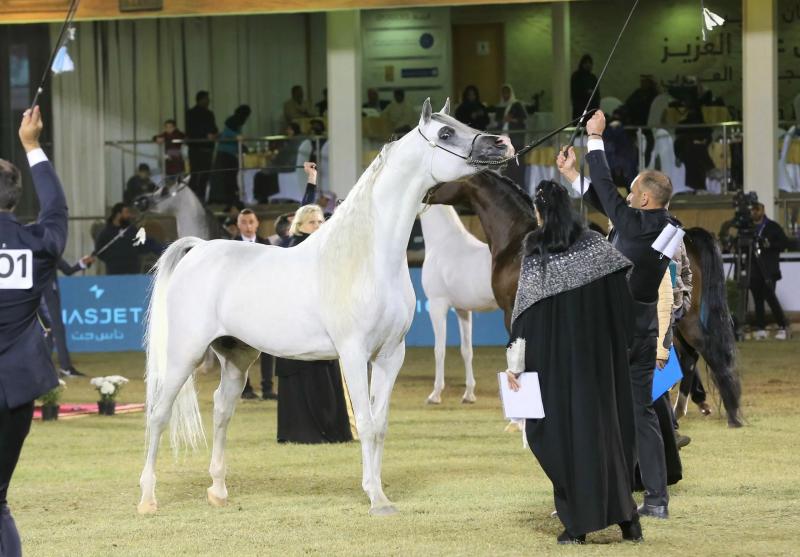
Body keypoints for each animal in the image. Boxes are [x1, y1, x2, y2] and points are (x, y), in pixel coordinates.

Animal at [422, 202, 496, 402]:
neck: (443, 241)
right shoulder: (463, 309)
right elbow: (466, 350)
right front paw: (469, 394)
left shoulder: (437, 305)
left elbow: (439, 350)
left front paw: (435, 394)